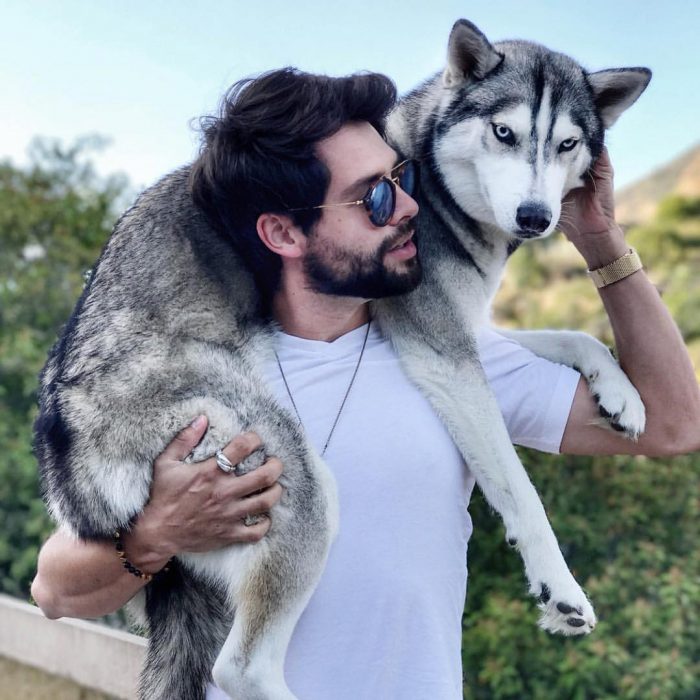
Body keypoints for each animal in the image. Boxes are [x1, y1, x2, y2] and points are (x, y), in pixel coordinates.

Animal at [37, 19, 652, 700]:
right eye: (503, 133)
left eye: (568, 143)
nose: (537, 217)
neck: (432, 184)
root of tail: (62, 447)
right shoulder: (442, 351)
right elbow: (521, 489)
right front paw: (559, 586)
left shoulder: (467, 334)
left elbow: (578, 338)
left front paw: (622, 394)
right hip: (288, 475)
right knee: (241, 666)